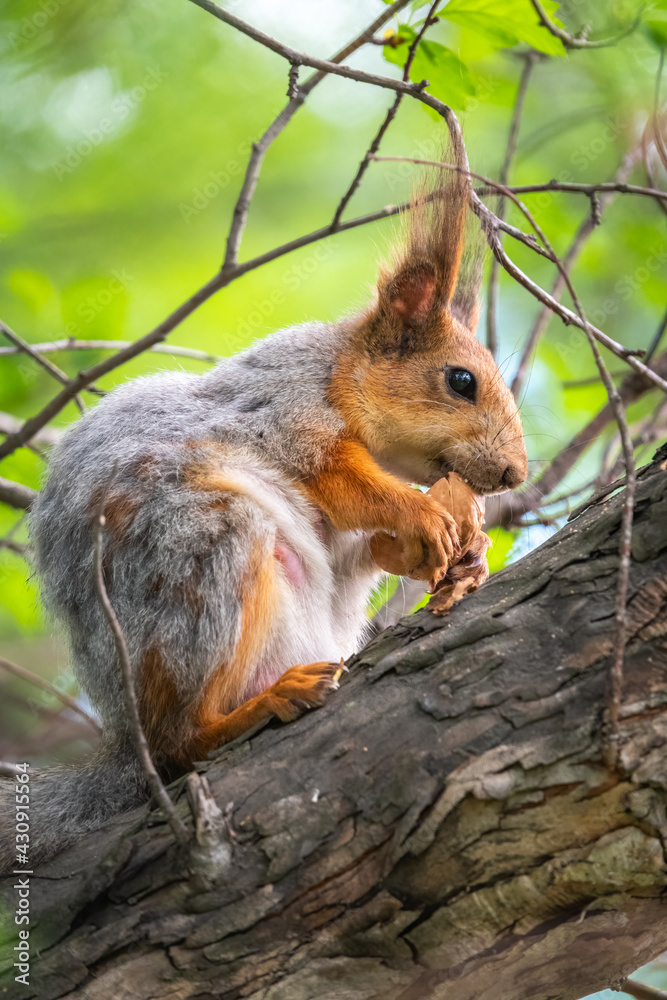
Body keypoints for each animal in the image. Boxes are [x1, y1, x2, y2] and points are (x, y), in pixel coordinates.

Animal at [0, 153, 527, 870]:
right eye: (461, 381)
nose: (514, 475)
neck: (338, 376)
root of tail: (124, 732)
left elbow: (363, 548)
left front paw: (464, 553)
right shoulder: (282, 410)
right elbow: (339, 480)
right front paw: (421, 516)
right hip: (202, 557)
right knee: (176, 744)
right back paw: (262, 705)